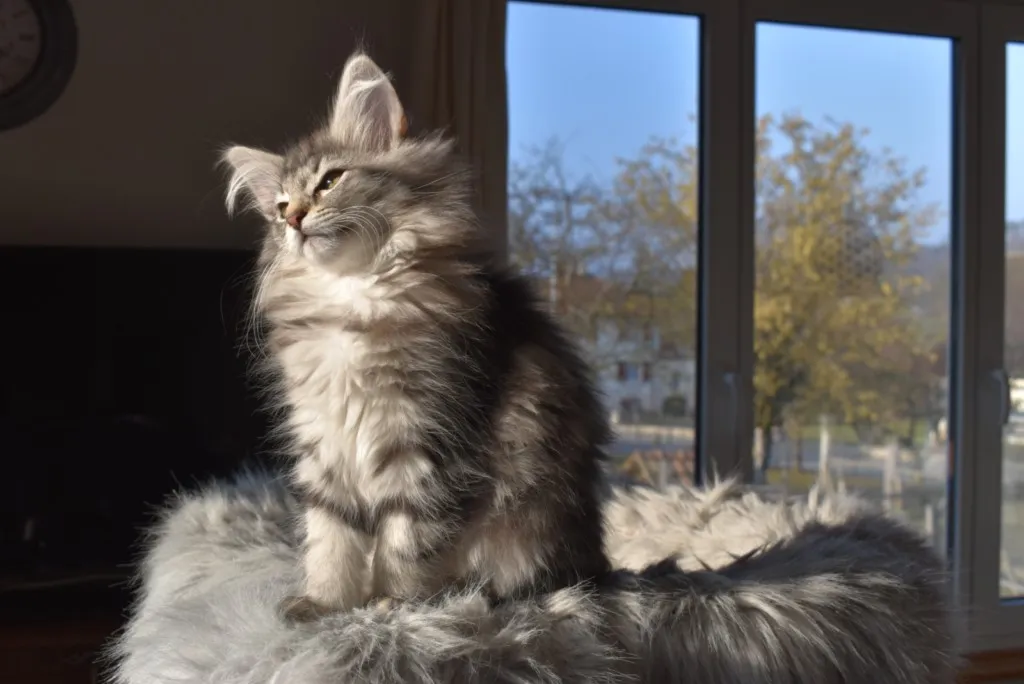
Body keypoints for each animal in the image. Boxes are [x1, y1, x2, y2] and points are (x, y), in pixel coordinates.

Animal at [221, 51, 612, 621]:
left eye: (330, 181)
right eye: (278, 206)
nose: (293, 219)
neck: (355, 298)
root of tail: (596, 561)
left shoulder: (428, 438)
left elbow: (407, 537)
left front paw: (393, 605)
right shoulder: (324, 438)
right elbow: (329, 533)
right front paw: (324, 604)